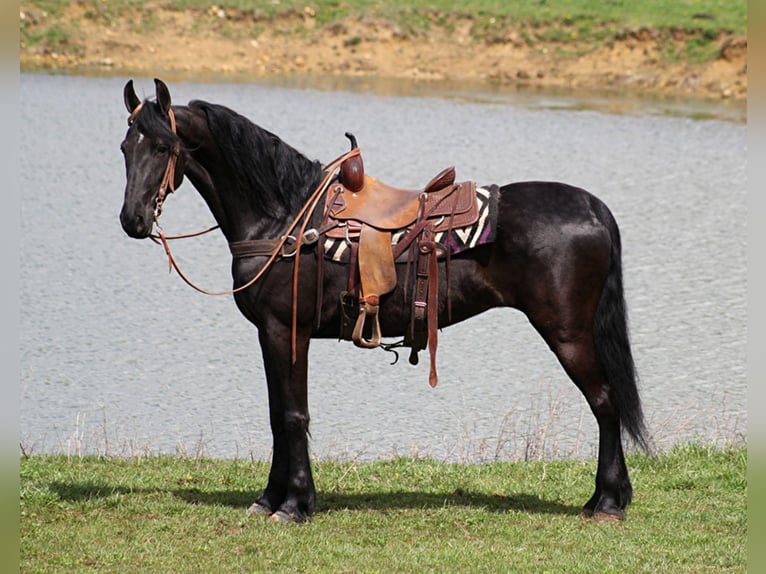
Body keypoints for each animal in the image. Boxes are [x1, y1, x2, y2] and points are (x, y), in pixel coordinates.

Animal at [118, 79, 648, 524]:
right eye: (125, 148)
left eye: (164, 147)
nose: (133, 220)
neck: (283, 216)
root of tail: (591, 207)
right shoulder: (273, 335)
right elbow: (277, 416)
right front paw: (271, 498)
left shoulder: (284, 330)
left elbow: (291, 415)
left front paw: (293, 504)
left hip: (568, 333)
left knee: (605, 403)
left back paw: (607, 502)